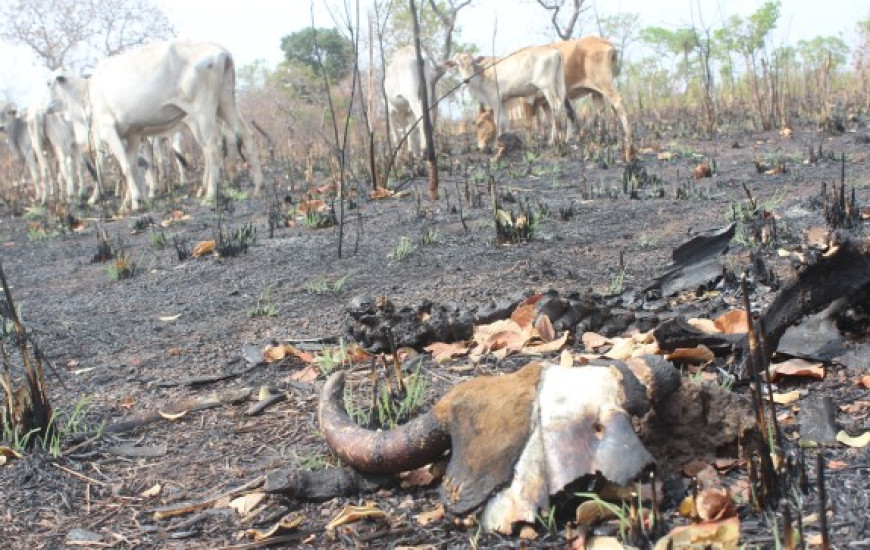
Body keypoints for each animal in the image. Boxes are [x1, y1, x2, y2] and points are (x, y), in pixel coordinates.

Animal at [48, 38, 262, 211]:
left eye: (49, 83)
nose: (46, 107)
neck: (87, 93)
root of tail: (222, 51)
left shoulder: (107, 130)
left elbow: (123, 166)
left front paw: (134, 201)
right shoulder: (133, 134)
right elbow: (133, 165)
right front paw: (129, 202)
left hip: (202, 110)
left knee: (213, 147)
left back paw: (209, 193)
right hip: (225, 102)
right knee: (247, 136)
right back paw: (258, 186)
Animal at [442, 48, 580, 147]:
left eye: (471, 62)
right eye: (457, 64)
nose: (466, 79)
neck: (482, 74)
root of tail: (554, 51)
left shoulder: (495, 99)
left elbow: (498, 121)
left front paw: (496, 144)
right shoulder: (504, 101)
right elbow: (505, 122)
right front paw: (505, 140)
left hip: (547, 87)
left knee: (556, 106)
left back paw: (553, 141)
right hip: (558, 85)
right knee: (564, 110)